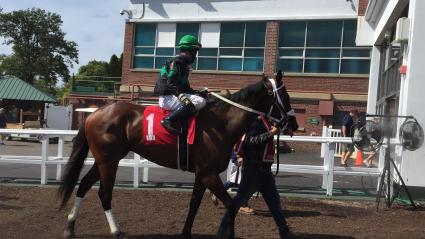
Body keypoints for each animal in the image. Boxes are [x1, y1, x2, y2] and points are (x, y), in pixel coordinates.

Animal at [58, 70, 294, 238]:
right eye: (284, 95)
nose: (293, 123)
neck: (221, 123)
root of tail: (95, 113)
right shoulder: (209, 174)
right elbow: (231, 205)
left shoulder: (202, 174)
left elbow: (194, 205)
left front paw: (185, 233)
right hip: (109, 161)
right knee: (104, 193)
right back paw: (115, 231)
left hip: (104, 160)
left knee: (84, 185)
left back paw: (70, 227)